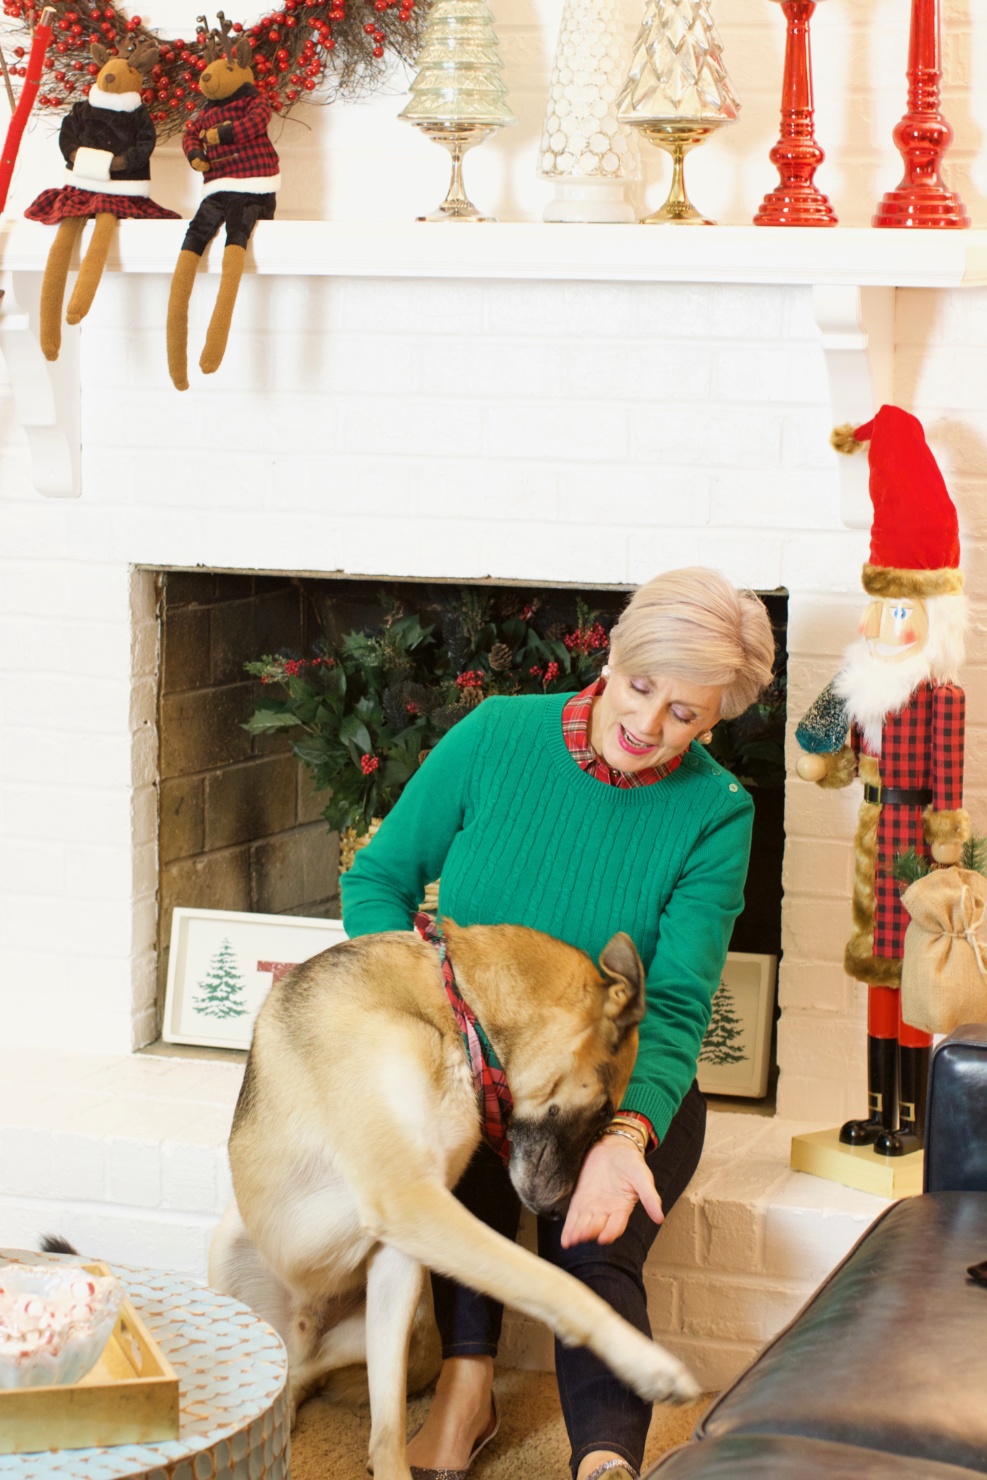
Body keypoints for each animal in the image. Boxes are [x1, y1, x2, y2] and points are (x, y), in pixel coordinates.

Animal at [213, 917, 698, 1474]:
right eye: (601, 1112)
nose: (558, 1212)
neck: (457, 1009)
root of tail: (305, 1333)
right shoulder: (405, 1194)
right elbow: (550, 1280)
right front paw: (649, 1365)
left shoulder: (411, 1222)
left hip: (403, 1316)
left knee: (359, 1412)